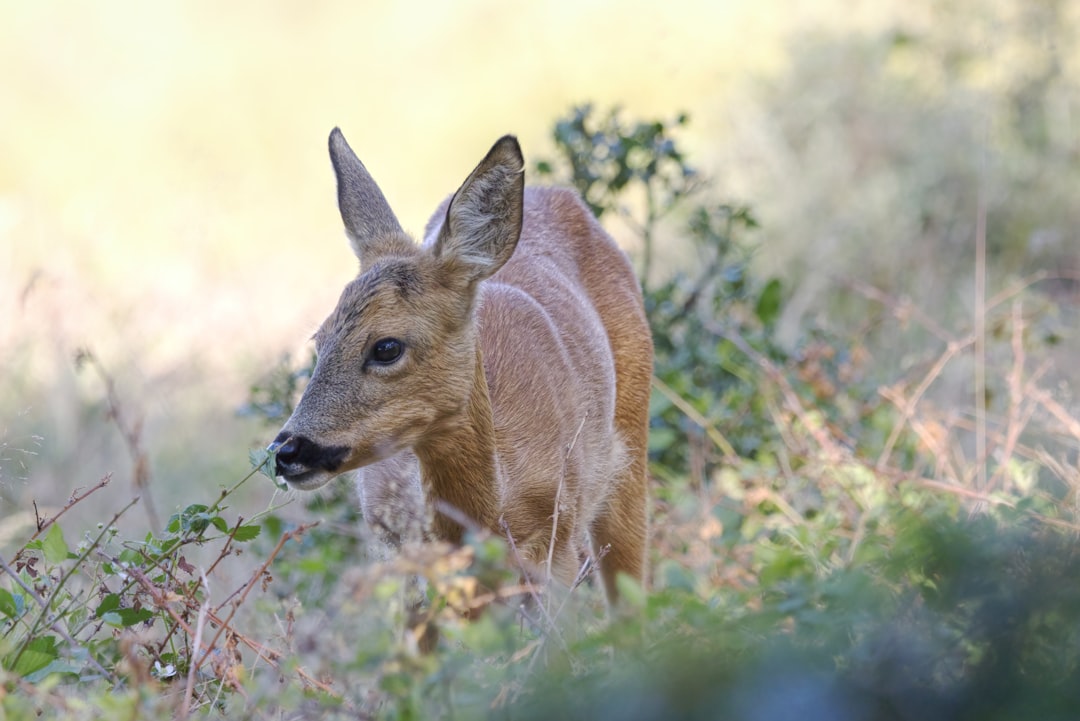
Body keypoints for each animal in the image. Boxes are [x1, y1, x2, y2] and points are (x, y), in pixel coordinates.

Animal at [274, 127, 652, 604]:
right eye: (319, 340)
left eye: (386, 347)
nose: (287, 450)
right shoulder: (397, 551)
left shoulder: (557, 545)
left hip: (628, 458)